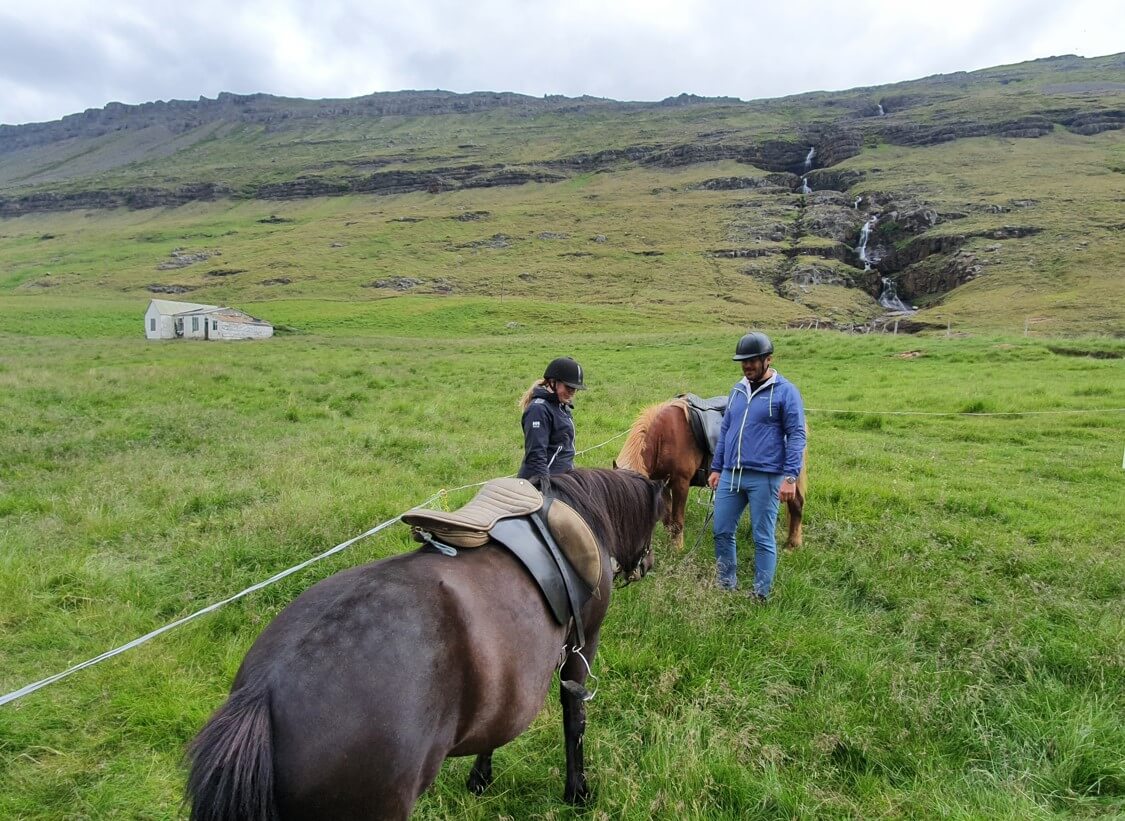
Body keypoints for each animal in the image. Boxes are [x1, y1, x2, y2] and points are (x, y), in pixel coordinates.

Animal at [183, 467, 657, 818]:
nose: (646, 566)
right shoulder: (581, 647)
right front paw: (577, 791)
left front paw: (480, 779)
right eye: (656, 517)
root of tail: (263, 696)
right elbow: (574, 720)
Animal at [616, 398, 810, 551]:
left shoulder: (680, 483)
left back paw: (792, 545)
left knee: (796, 504)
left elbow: (677, 521)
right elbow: (667, 520)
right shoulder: (662, 484)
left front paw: (677, 549)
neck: (664, 437)